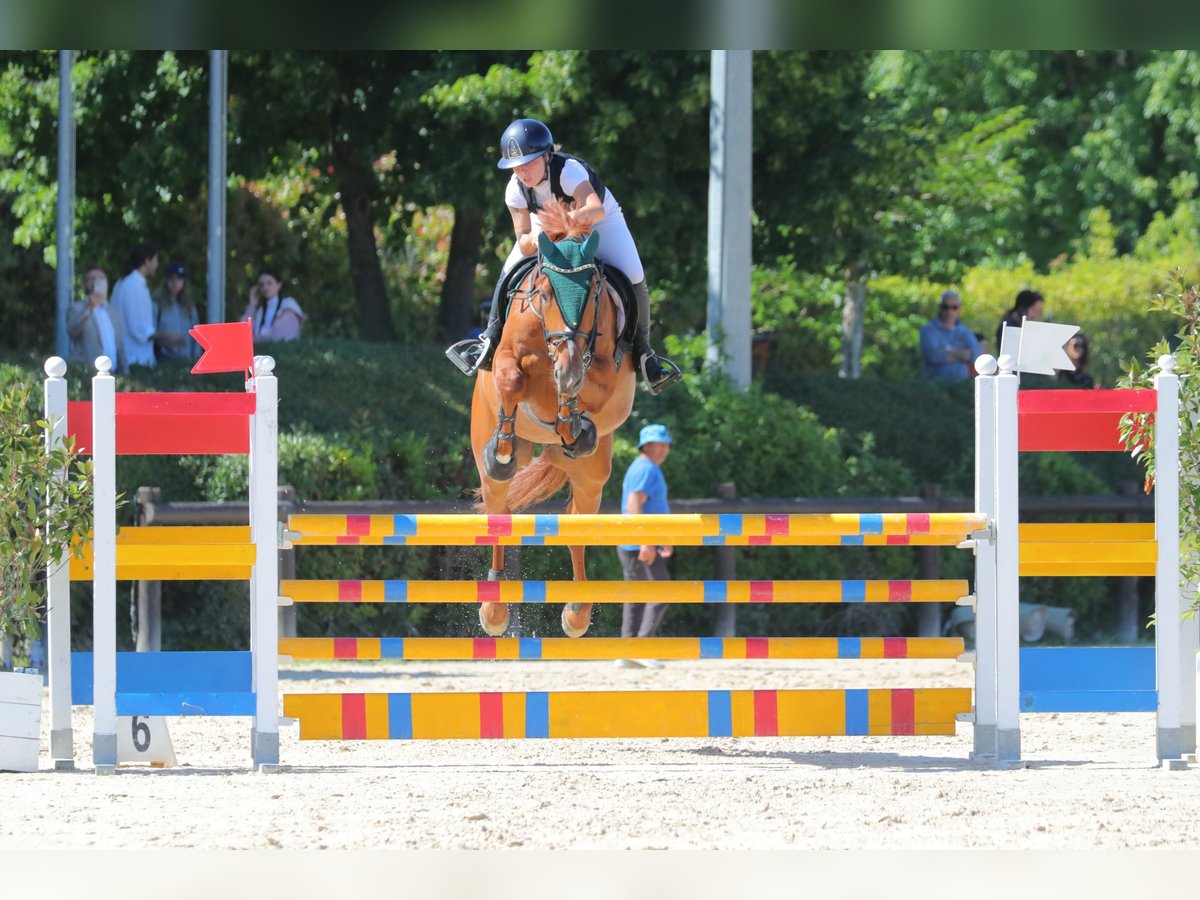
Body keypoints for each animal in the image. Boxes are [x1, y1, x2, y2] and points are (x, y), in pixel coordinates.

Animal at [468, 202, 638, 643]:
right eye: (544, 292)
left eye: (592, 293)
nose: (567, 364)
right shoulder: (510, 357)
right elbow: (512, 378)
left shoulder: (607, 374)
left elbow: (584, 388)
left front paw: (572, 419)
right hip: (491, 467)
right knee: (499, 508)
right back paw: (495, 608)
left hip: (592, 477)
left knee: (578, 524)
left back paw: (577, 611)